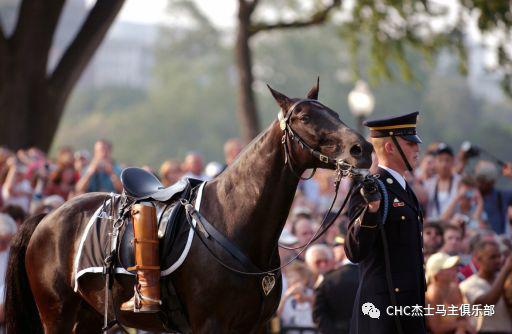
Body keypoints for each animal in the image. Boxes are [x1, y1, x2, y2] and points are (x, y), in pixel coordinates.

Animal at [4, 81, 372, 334]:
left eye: (336, 114)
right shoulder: (210, 325)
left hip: (90, 316)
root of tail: (46, 220)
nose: (362, 149)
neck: (234, 223)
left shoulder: (255, 325)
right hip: (57, 315)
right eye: (306, 116)